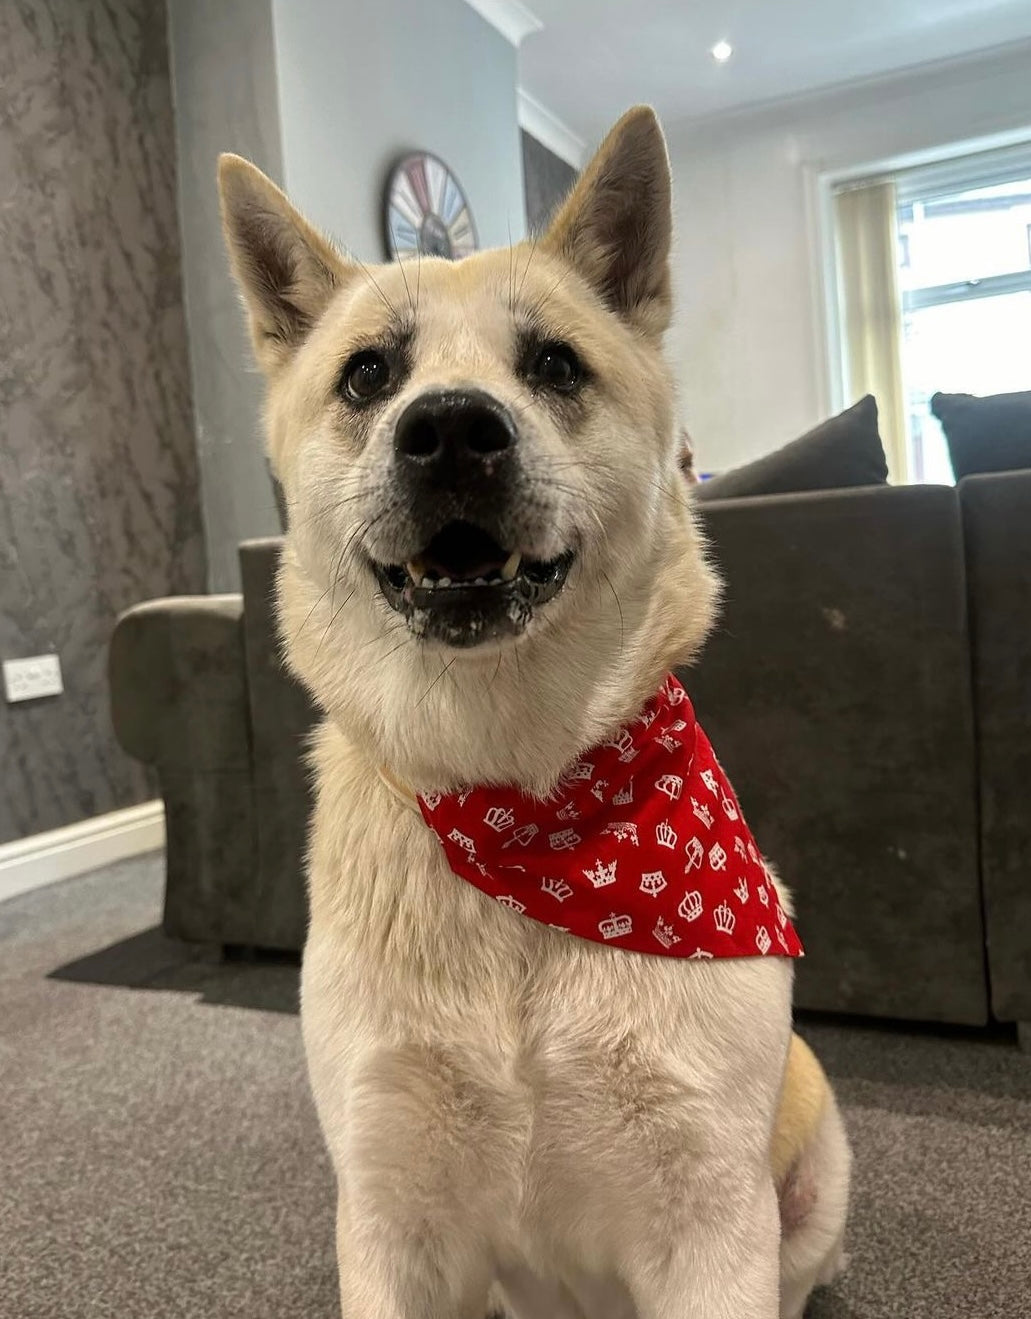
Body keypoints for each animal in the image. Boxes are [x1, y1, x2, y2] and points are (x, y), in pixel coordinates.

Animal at [217, 105, 849, 1319]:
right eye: (368, 374)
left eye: (553, 363)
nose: (452, 430)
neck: (516, 805)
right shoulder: (390, 1214)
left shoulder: (709, 1214)